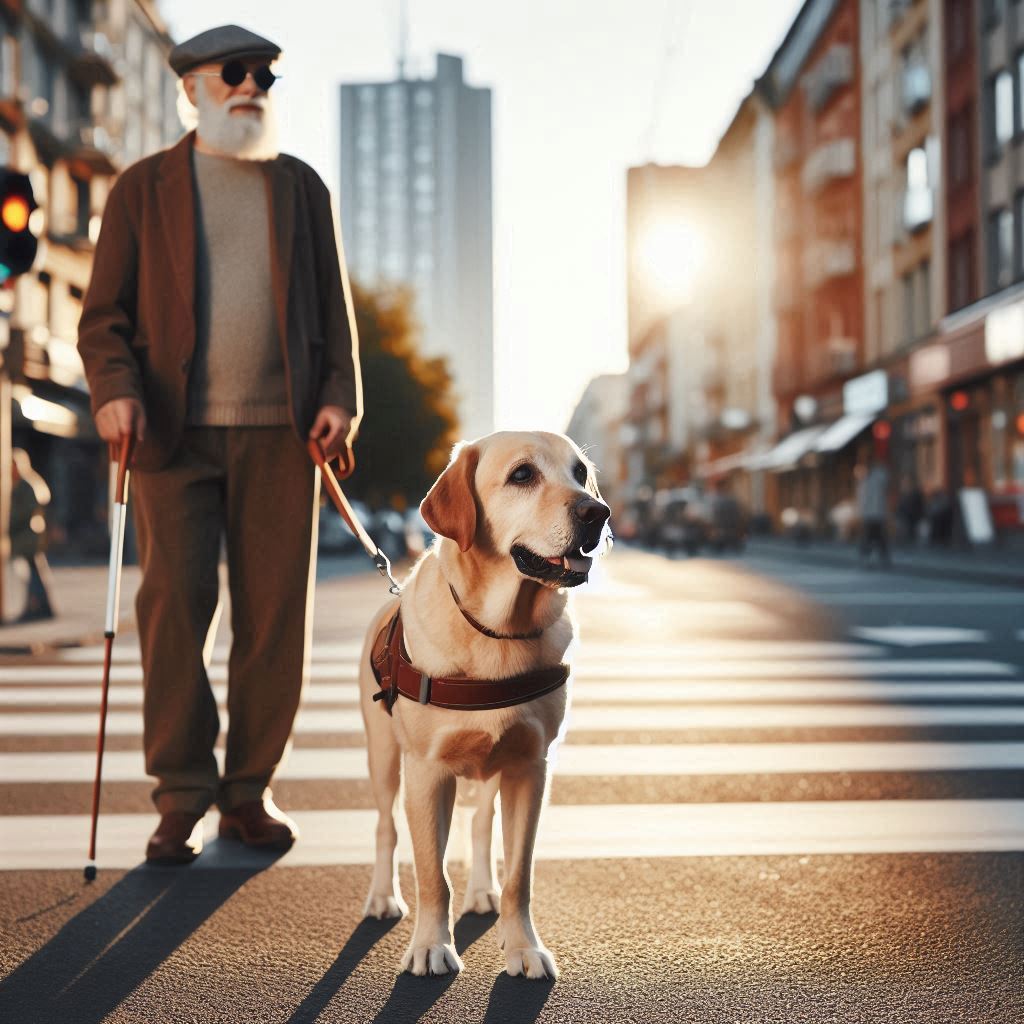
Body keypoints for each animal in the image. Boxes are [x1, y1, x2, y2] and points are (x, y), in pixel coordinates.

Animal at [360, 428, 610, 978]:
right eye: (522, 475)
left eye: (580, 473)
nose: (597, 513)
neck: (499, 631)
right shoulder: (427, 772)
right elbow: (432, 874)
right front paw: (431, 945)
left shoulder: (530, 768)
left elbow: (520, 874)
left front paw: (523, 948)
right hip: (384, 756)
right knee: (385, 826)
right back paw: (382, 899)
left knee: (479, 824)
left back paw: (481, 892)